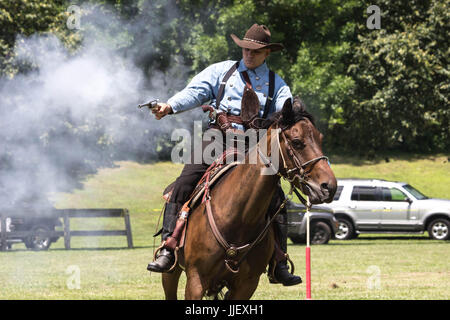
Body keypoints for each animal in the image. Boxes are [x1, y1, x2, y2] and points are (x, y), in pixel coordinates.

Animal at [161, 92, 334, 300]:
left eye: (320, 138)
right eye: (296, 141)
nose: (328, 186)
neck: (238, 217)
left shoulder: (246, 285)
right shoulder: (196, 281)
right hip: (170, 274)